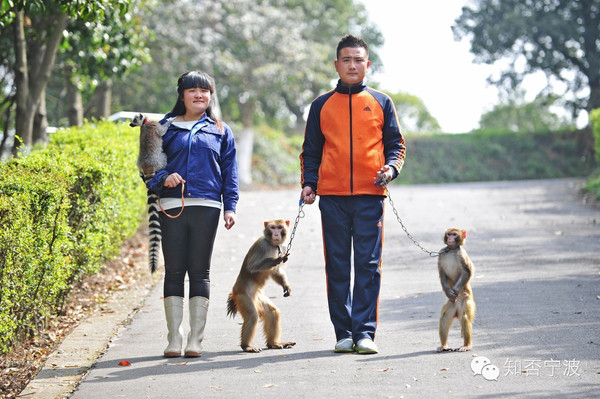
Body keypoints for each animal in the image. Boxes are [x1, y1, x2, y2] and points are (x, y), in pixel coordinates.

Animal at [226, 219, 296, 354]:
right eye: (273, 227)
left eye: (280, 227)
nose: (276, 234)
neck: (273, 245)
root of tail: (234, 292)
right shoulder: (262, 245)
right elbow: (252, 267)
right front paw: (276, 259)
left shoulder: (283, 248)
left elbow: (276, 272)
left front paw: (286, 286)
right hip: (243, 297)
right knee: (253, 316)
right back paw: (246, 346)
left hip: (258, 296)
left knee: (273, 312)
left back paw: (273, 343)